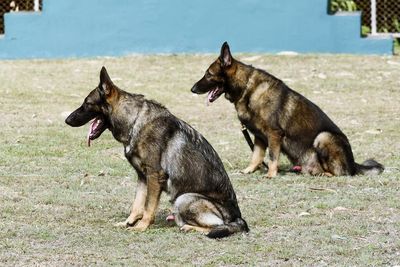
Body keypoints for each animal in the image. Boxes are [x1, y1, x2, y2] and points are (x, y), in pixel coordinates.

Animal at [191, 43, 384, 179]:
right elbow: (256, 156)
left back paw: (324, 173)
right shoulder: (259, 136)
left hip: (323, 137)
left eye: (208, 74)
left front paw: (271, 174)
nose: (192, 89)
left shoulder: (274, 134)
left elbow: (272, 156)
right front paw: (249, 170)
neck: (247, 88)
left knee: (340, 173)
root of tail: (353, 163)